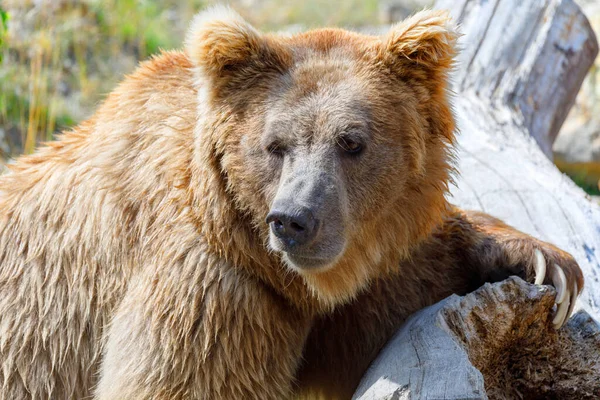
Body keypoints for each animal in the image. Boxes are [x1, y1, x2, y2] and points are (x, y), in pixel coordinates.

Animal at [0, 6, 584, 400]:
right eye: (275, 145)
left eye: (351, 141)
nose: (293, 220)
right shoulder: (214, 292)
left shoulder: (344, 285)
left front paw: (545, 263)